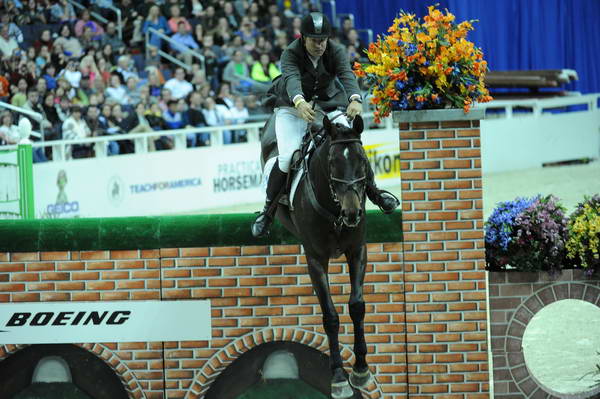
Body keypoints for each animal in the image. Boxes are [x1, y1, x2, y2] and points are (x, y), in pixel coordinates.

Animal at [262, 110, 372, 399]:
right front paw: (339, 378)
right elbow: (330, 317)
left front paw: (361, 370)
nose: (352, 214)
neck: (334, 210)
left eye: (363, 161)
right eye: (332, 163)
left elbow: (357, 306)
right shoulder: (315, 260)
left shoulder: (357, 251)